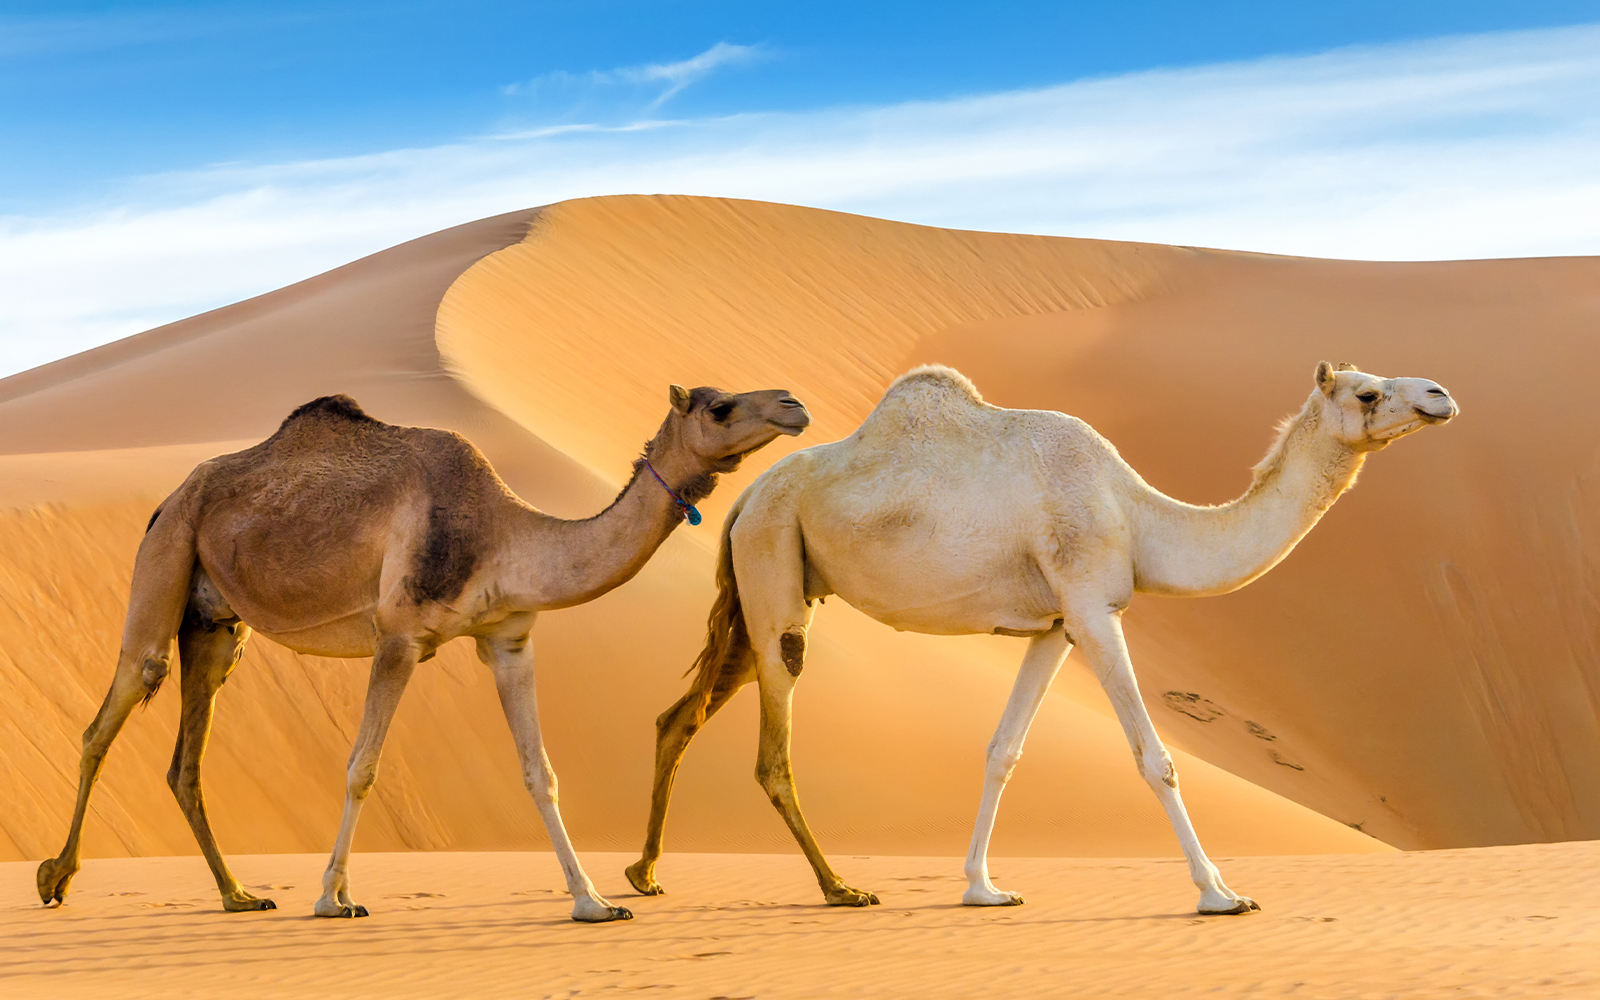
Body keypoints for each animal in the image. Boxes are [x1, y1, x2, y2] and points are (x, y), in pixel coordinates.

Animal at [36, 384, 810, 922]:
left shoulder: (508, 639)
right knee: (111, 710)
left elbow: (541, 773)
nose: (794, 404)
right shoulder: (400, 635)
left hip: (216, 626)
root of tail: (167, 498)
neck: (506, 534)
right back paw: (55, 877)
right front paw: (334, 898)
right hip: (166, 556)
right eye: (720, 406)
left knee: (184, 762)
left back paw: (238, 894)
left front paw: (595, 902)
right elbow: (361, 767)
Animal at [625, 361, 1457, 914]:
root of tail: (742, 501)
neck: (1139, 517)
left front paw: (983, 886)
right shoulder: (1092, 606)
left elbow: (1004, 751)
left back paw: (645, 873)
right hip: (775, 571)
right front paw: (1221, 892)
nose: (1441, 394)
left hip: (762, 590)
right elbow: (1155, 759)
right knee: (772, 749)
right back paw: (839, 889)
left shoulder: (1055, 627)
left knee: (679, 715)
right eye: (1367, 392)